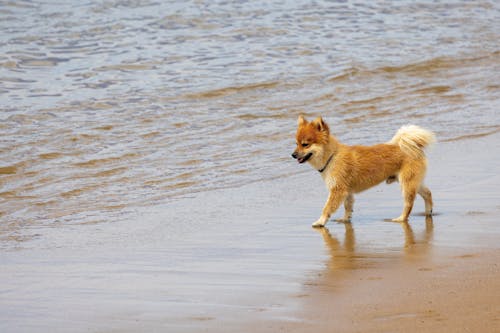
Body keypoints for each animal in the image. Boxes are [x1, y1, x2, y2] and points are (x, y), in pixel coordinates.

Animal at [292, 115, 436, 227]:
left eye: (305, 144)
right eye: (296, 144)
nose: (293, 155)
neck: (332, 156)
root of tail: (413, 146)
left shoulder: (337, 190)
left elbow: (327, 208)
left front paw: (320, 221)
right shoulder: (346, 191)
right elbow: (348, 207)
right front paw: (345, 220)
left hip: (406, 184)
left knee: (409, 203)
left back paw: (401, 218)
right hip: (414, 182)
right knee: (427, 193)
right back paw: (428, 212)